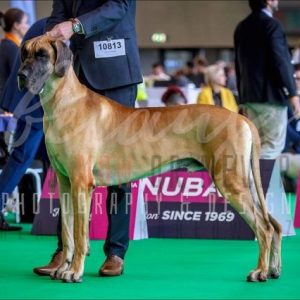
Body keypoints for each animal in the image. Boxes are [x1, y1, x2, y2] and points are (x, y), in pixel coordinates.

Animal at [18, 35, 282, 284]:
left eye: (42, 55)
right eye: (24, 53)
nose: (20, 75)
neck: (63, 102)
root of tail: (241, 118)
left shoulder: (81, 183)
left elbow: (80, 236)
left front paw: (74, 272)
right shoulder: (65, 184)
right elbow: (67, 233)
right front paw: (63, 267)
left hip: (231, 182)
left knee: (264, 228)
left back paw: (259, 271)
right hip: (242, 181)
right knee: (274, 225)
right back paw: (273, 269)